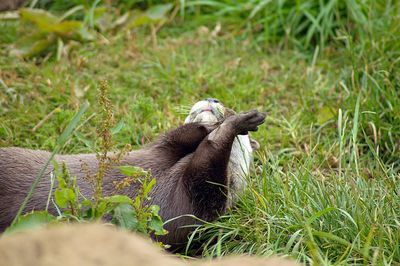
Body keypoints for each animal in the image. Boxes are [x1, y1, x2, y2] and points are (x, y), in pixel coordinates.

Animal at [0, 100, 268, 247]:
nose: (212, 99)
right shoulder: (159, 148)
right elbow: (177, 136)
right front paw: (208, 123)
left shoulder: (199, 202)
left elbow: (210, 155)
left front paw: (235, 123)